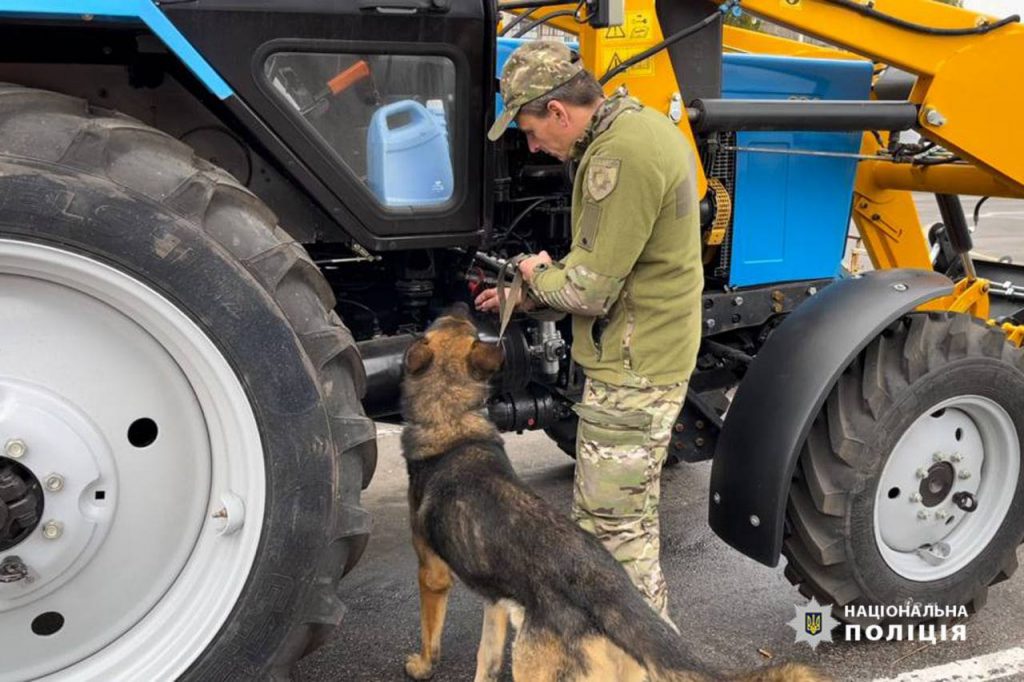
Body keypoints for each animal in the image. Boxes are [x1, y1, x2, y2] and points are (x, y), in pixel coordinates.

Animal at [399, 303, 823, 679]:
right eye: (457, 323)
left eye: (439, 323)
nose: (461, 302)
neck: (452, 418)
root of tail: (605, 586)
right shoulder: (497, 605)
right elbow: (485, 659)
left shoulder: (431, 573)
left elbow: (430, 634)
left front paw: (421, 666)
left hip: (533, 667)